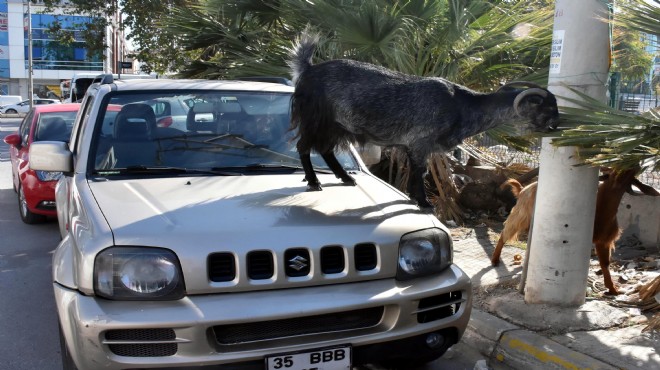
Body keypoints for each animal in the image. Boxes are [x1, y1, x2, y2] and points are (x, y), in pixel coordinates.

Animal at [288, 29, 556, 208]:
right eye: (548, 108)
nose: (556, 126)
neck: (461, 105)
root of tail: (307, 70)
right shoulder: (420, 143)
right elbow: (420, 171)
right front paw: (424, 202)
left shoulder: (415, 146)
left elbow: (419, 171)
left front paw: (414, 197)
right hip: (315, 119)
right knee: (304, 146)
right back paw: (314, 181)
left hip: (336, 125)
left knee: (325, 149)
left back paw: (345, 178)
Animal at [492, 170, 656, 294]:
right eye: (613, 172)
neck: (601, 209)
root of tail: (523, 188)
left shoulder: (604, 240)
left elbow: (605, 263)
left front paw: (612, 289)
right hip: (522, 213)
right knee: (506, 232)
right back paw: (495, 259)